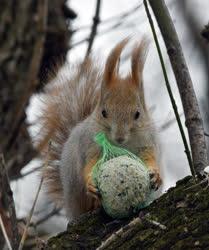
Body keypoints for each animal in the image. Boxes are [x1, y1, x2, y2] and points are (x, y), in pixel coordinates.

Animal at [36, 36, 162, 219]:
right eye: (104, 112)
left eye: (138, 114)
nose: (119, 137)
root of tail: (72, 209)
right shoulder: (90, 144)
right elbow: (91, 163)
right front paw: (90, 183)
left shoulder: (147, 142)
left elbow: (149, 157)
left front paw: (156, 175)